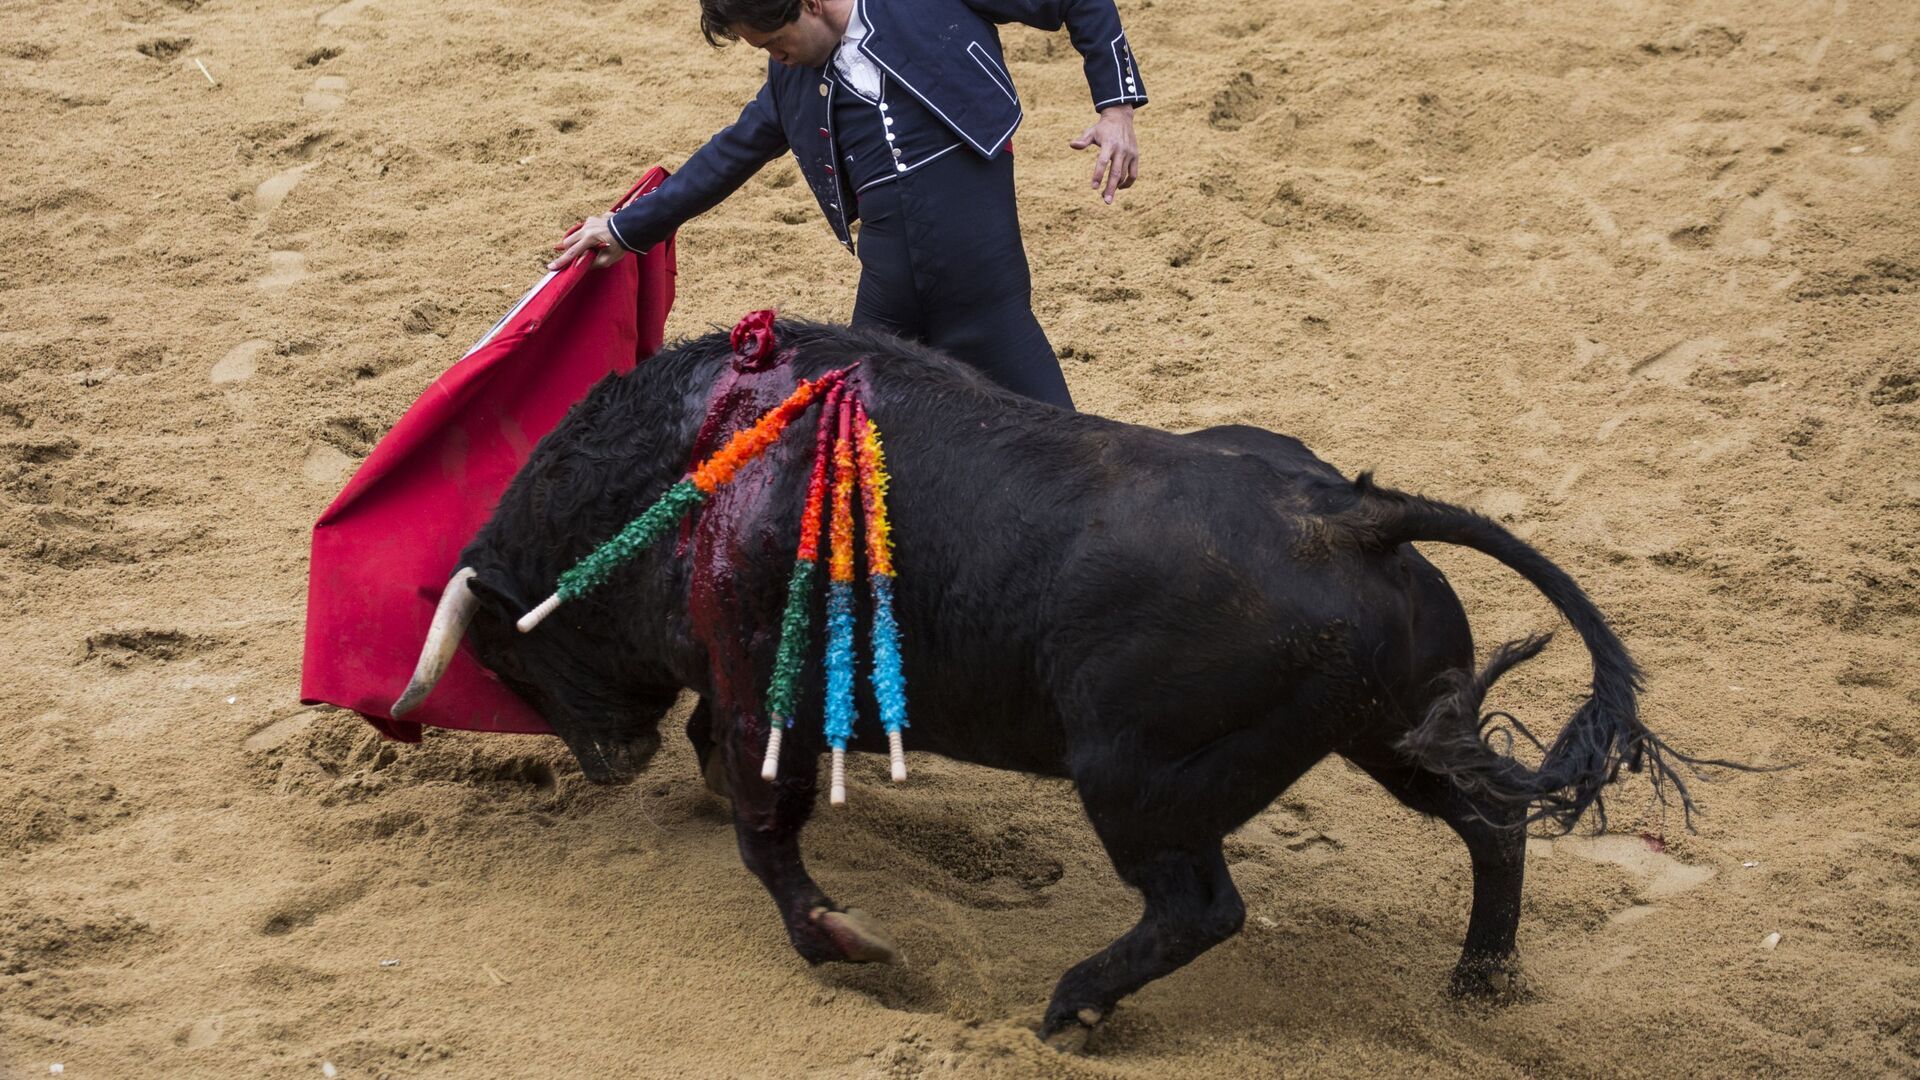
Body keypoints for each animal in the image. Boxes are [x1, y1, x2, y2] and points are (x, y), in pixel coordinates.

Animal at [393, 319, 1712, 1045]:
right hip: (1395, 731)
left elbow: (767, 839)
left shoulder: (764, 689)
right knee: (1490, 817)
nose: (601, 762)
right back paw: (1480, 981)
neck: (693, 465)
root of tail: (1345, 517)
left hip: (1134, 778)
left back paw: (1073, 1007)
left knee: (1200, 908)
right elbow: (733, 776)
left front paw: (848, 945)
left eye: (514, 655)